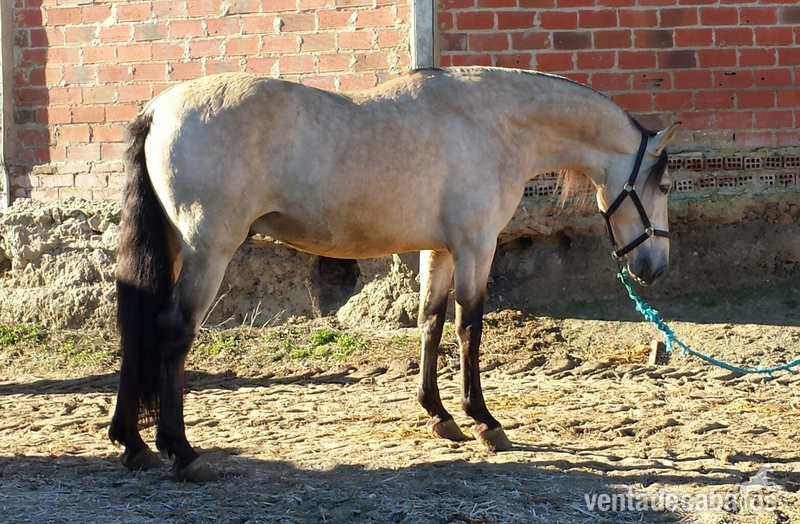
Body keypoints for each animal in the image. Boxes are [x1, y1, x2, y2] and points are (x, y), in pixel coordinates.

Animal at [109, 66, 678, 482]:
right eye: (667, 185)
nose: (656, 269)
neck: (493, 121)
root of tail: (157, 110)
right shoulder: (476, 245)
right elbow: (468, 327)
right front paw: (484, 422)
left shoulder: (440, 249)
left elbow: (430, 322)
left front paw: (439, 415)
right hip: (209, 252)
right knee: (172, 332)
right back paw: (182, 452)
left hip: (174, 249)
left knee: (137, 331)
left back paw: (134, 445)